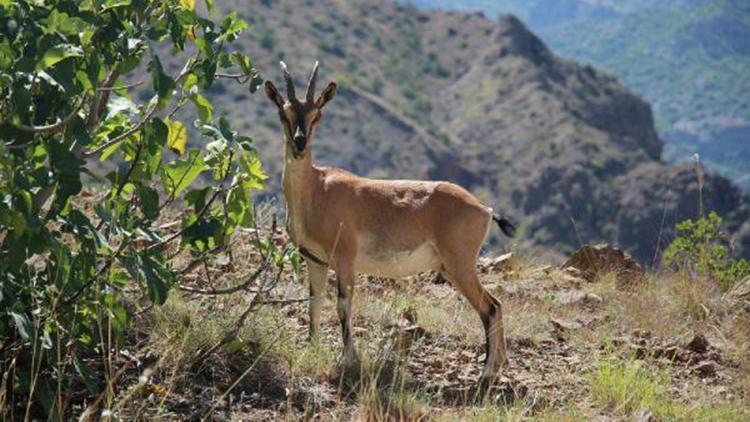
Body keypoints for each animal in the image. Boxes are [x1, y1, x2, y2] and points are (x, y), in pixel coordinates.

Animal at [264, 60, 516, 386]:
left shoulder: (345, 260)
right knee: (495, 306)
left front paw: (349, 360)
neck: (317, 189)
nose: (299, 143)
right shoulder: (315, 261)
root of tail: (484, 209)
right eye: (284, 112)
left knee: (491, 307)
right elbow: (314, 304)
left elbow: (343, 305)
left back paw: (485, 375)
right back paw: (497, 368)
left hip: (460, 266)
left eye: (317, 114)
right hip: (451, 268)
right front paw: (312, 348)